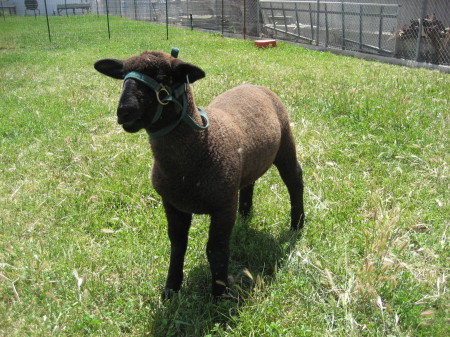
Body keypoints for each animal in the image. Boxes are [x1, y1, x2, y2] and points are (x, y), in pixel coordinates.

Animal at [95, 50, 306, 296]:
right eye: (123, 76)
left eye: (163, 77)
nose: (124, 112)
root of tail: (253, 85)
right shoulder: (172, 203)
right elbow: (177, 245)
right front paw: (171, 289)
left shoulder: (223, 206)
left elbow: (216, 249)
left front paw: (219, 295)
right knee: (249, 182)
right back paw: (245, 213)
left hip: (285, 142)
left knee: (294, 178)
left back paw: (297, 224)